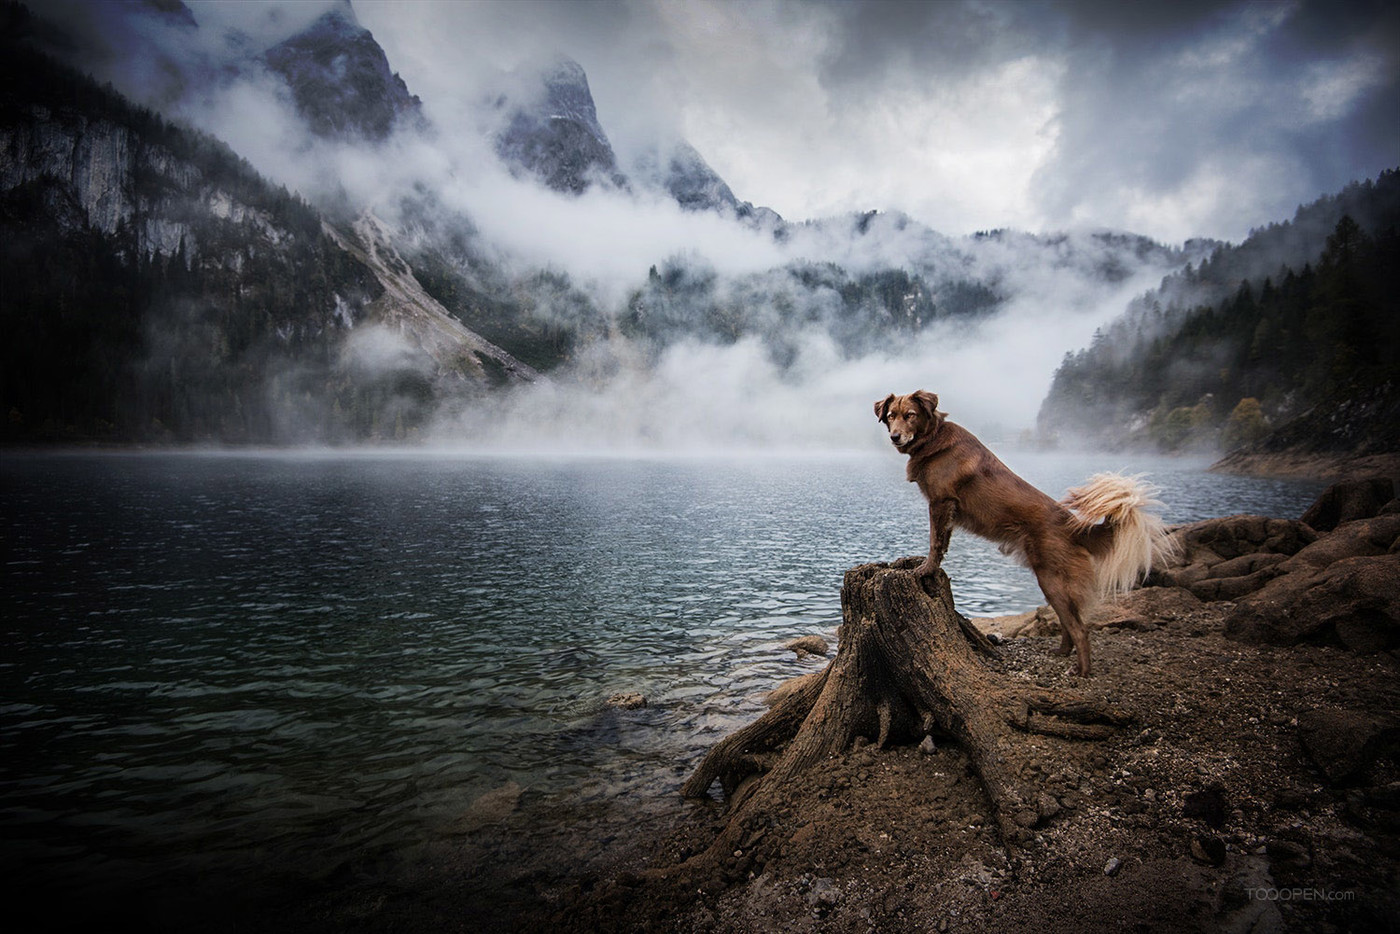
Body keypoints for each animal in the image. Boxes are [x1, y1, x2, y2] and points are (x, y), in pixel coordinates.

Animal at [879, 392, 1176, 674]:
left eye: (910, 415)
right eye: (891, 416)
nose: (894, 436)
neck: (934, 437)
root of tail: (1075, 527)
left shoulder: (941, 503)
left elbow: (935, 542)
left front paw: (925, 570)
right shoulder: (946, 510)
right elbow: (943, 544)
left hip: (1052, 579)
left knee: (1080, 629)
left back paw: (1081, 671)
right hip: (1051, 582)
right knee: (1068, 622)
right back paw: (1061, 653)